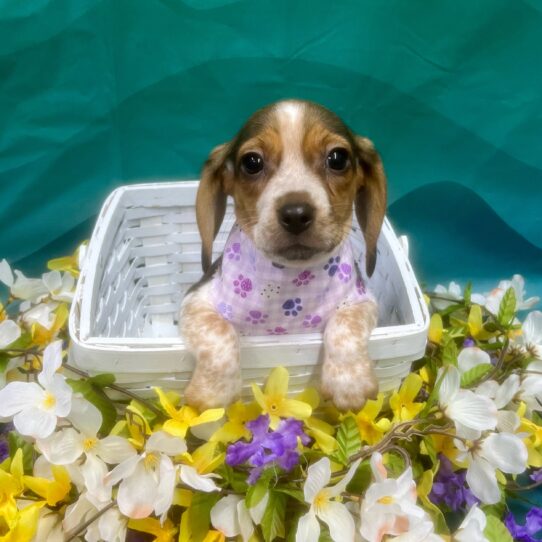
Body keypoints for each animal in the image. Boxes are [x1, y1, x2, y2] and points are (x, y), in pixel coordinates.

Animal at [182, 100, 386, 412]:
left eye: (338, 158)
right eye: (251, 162)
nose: (296, 213)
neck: (289, 286)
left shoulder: (362, 301)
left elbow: (346, 325)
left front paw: (350, 383)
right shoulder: (194, 303)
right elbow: (219, 332)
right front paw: (213, 394)